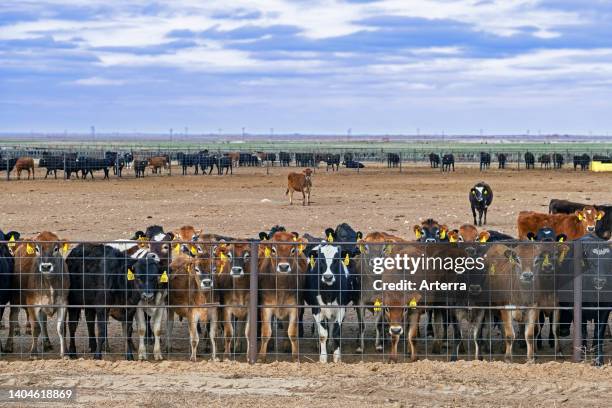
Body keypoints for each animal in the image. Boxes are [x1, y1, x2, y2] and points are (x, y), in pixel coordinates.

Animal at [256, 231, 308, 362]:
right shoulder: (266, 307)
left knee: (285, 325)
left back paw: (286, 345)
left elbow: (292, 332)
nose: (283, 267)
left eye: (293, 250)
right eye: (273, 250)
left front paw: (295, 357)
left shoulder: (294, 307)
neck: (280, 287)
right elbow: (266, 332)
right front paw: (261, 357)